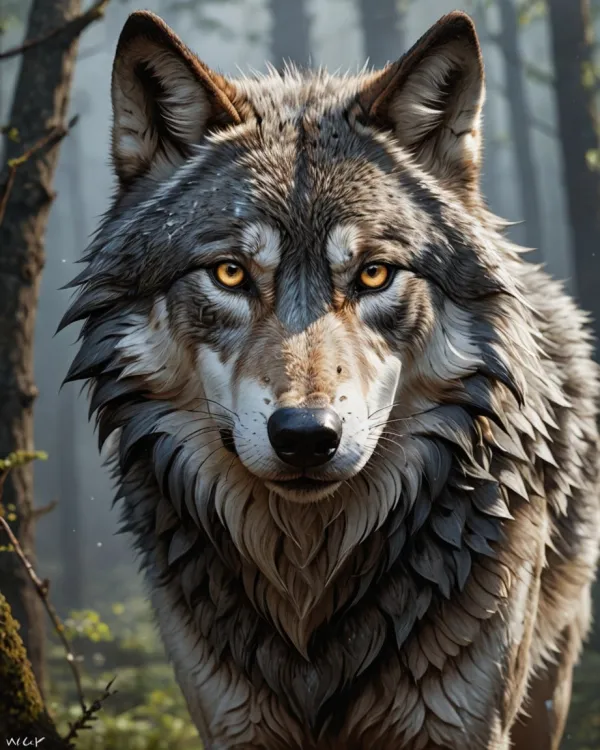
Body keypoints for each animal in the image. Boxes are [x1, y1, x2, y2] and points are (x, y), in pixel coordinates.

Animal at [60, 8, 600, 750]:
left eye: (373, 274)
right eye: (230, 273)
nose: (306, 436)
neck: (309, 581)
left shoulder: (465, 725)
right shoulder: (230, 722)